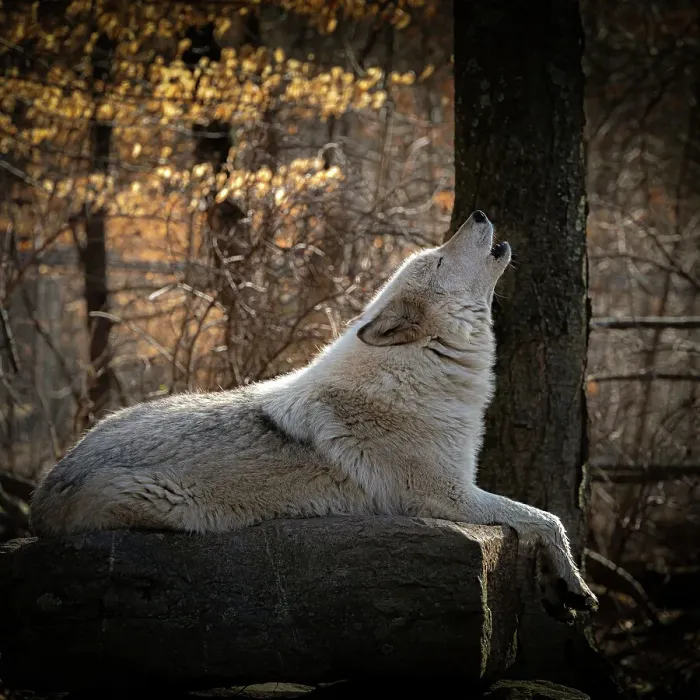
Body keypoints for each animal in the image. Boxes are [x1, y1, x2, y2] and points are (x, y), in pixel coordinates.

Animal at [30, 210, 597, 621]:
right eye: (437, 262)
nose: (478, 213)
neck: (420, 371)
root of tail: (44, 489)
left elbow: (543, 517)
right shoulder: (448, 495)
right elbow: (546, 517)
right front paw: (576, 588)